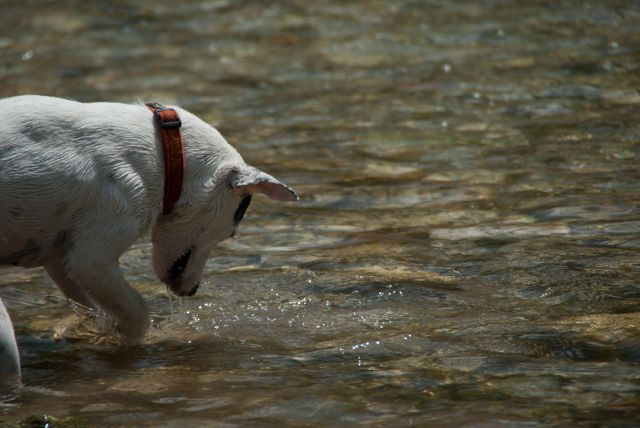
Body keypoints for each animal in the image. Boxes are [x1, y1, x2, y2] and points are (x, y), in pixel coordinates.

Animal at [0, 95, 298, 380]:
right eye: (230, 232)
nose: (192, 291)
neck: (166, 154)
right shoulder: (92, 260)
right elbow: (137, 311)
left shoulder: (61, 257)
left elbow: (86, 304)